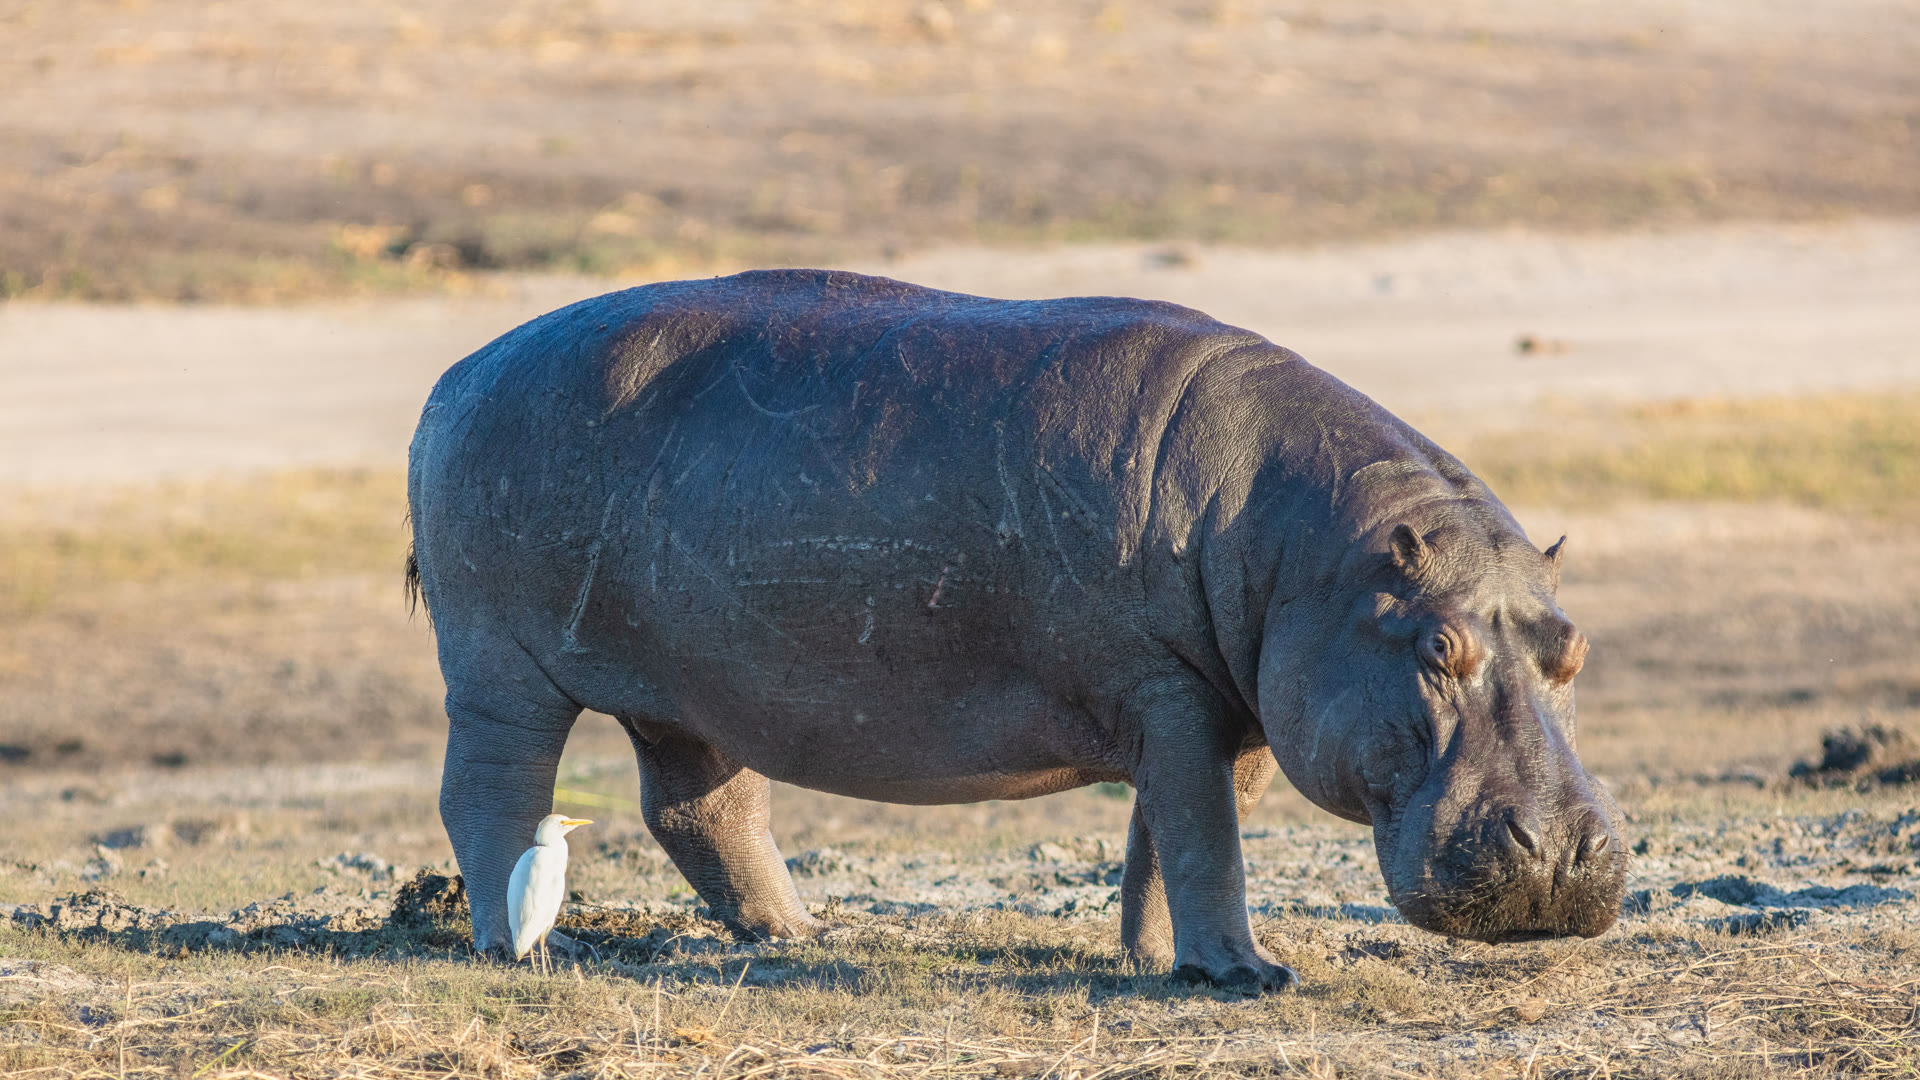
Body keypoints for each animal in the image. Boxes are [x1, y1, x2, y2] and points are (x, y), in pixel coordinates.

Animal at [406, 269, 1626, 992]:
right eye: (1436, 650)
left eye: (1573, 649)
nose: (1560, 860)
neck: (1315, 554)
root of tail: (455, 376)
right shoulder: (1172, 691)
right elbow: (1200, 836)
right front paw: (1247, 975)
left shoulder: (1227, 705)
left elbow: (1176, 838)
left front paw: (1161, 959)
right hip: (500, 667)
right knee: (489, 792)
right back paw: (523, 945)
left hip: (695, 687)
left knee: (699, 806)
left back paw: (799, 936)